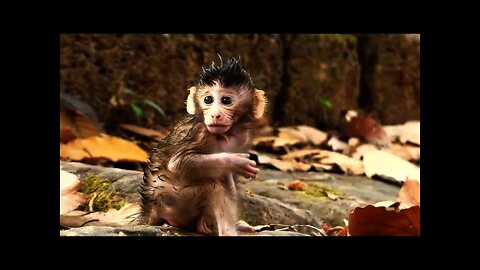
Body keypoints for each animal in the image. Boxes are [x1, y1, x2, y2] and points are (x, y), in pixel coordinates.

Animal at [138, 57, 266, 236]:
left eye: (226, 100)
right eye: (208, 100)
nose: (215, 115)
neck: (227, 134)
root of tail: (150, 209)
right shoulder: (201, 133)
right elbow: (178, 163)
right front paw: (236, 162)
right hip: (174, 201)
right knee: (215, 187)